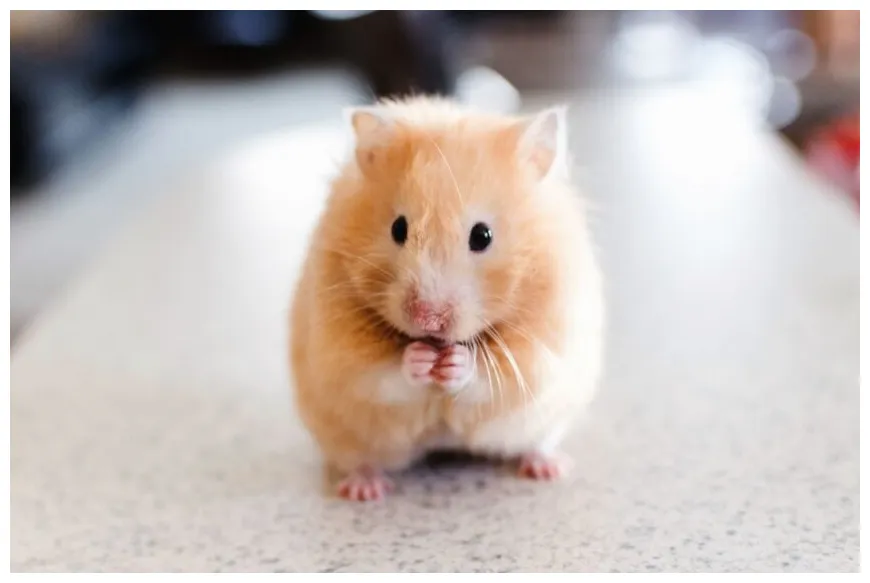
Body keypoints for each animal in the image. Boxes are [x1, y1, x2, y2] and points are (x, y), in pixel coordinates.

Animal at [289, 96, 604, 501]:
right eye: (398, 228)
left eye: (482, 236)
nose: (428, 319)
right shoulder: (339, 351)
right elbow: (381, 374)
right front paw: (420, 359)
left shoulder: (543, 347)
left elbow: (490, 376)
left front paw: (454, 363)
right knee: (360, 460)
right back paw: (364, 490)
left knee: (537, 443)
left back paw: (549, 468)